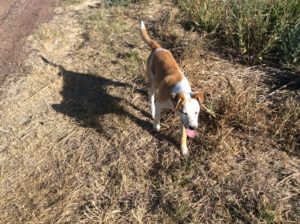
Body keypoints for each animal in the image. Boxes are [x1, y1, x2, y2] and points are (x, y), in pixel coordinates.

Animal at [141, 21, 204, 157]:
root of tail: (158, 48)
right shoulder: (161, 104)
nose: (193, 127)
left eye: (196, 112)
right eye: (185, 112)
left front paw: (184, 148)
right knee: (151, 96)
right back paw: (151, 110)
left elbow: (183, 134)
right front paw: (156, 127)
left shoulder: (184, 121)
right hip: (152, 81)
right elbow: (158, 117)